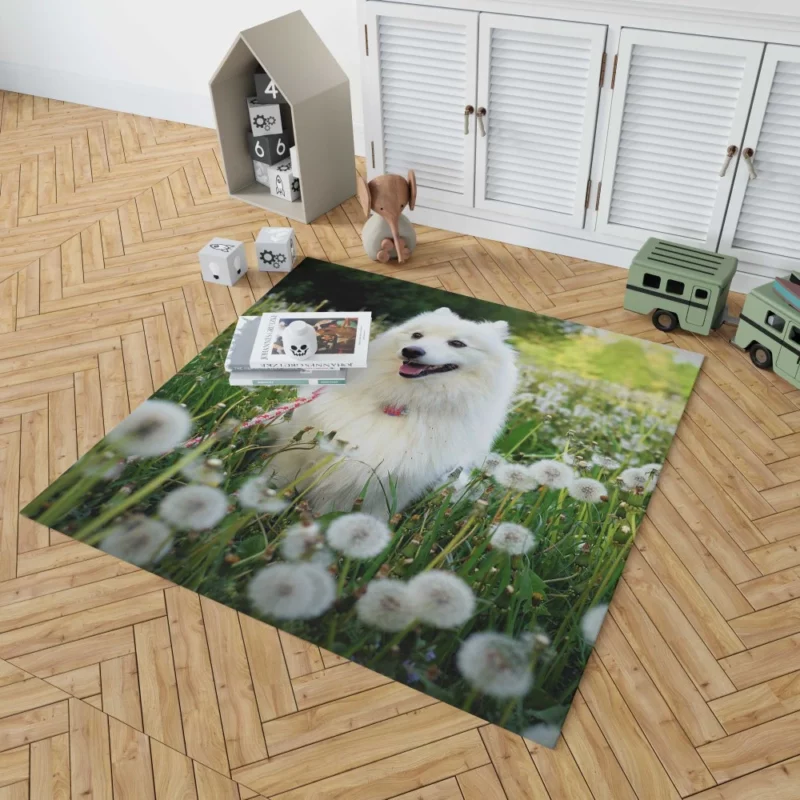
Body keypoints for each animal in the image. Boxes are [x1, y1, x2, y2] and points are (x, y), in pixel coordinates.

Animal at [268, 306, 520, 520]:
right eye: (417, 335)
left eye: (457, 343)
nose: (411, 350)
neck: (402, 402)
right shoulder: (298, 451)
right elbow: (278, 476)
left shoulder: (387, 488)